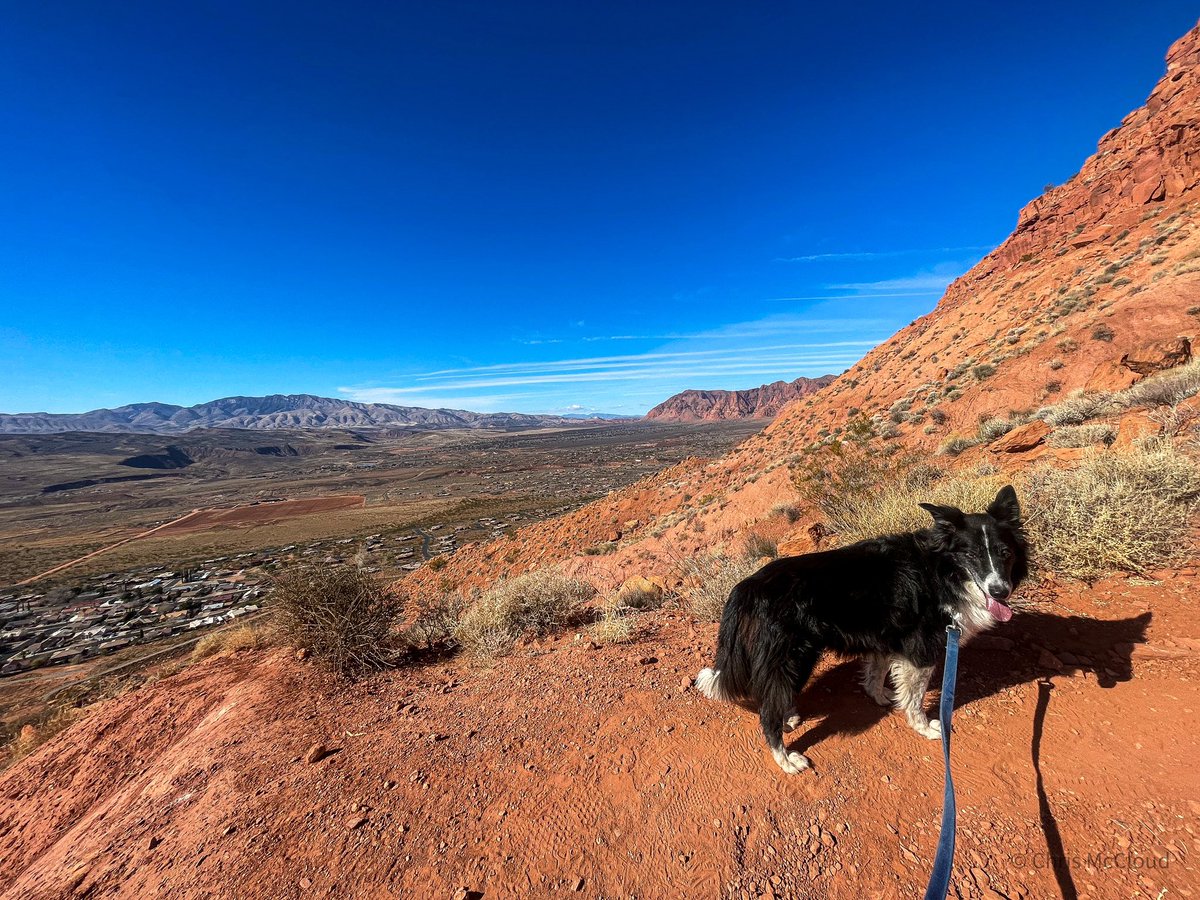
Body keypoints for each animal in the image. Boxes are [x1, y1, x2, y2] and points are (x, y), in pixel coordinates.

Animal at [700, 487, 1027, 777]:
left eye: (1005, 553)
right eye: (972, 556)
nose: (1000, 591)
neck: (940, 570)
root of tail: (748, 587)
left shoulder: (886, 637)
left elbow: (878, 672)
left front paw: (881, 696)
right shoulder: (921, 649)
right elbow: (915, 698)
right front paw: (924, 726)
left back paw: (789, 716)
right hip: (793, 656)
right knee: (767, 715)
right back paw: (787, 759)